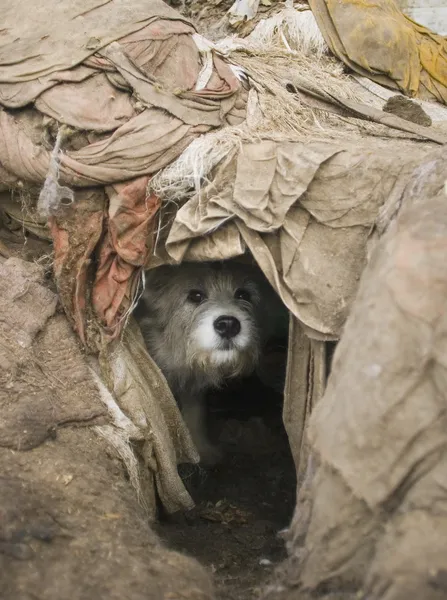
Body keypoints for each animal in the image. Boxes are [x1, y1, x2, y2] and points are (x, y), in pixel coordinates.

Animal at [136, 258, 288, 464]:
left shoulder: (193, 386)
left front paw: (202, 450)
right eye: (195, 296)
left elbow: (195, 412)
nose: (228, 325)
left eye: (243, 294)